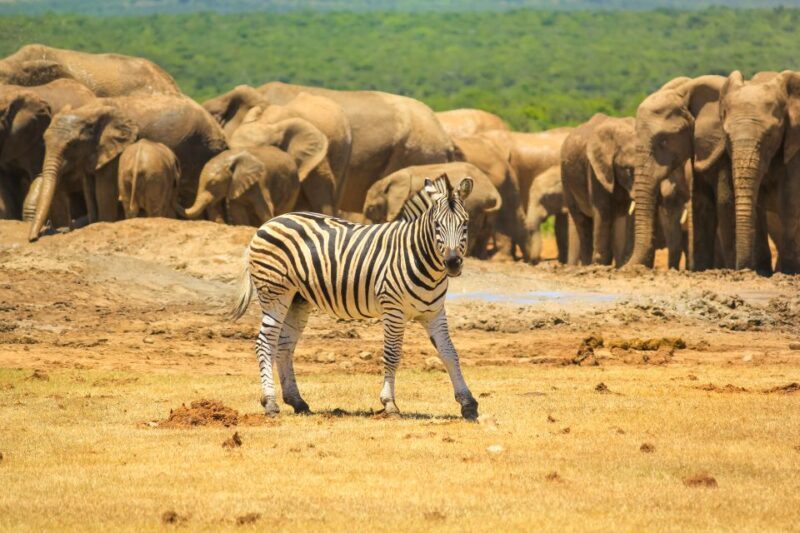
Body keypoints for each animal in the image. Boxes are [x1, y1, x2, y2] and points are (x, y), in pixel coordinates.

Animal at [28, 95, 227, 241]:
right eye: (44, 140)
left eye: (72, 145)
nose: (33, 238)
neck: (88, 111)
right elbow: (89, 188)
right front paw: (94, 222)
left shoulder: (116, 151)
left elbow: (104, 191)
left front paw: (104, 222)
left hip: (205, 150)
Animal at [561, 113, 636, 267]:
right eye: (627, 169)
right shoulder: (595, 169)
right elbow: (603, 211)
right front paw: (600, 265)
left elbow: (621, 215)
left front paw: (619, 267)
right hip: (566, 178)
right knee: (582, 222)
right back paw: (587, 265)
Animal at [628, 75, 735, 271]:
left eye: (663, 141)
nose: (629, 268)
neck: (687, 87)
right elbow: (701, 202)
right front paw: (701, 270)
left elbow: (725, 201)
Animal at [719, 70, 800, 274]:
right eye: (727, 137)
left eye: (770, 135)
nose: (741, 270)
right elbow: (757, 204)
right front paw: (762, 272)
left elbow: (789, 200)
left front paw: (789, 271)